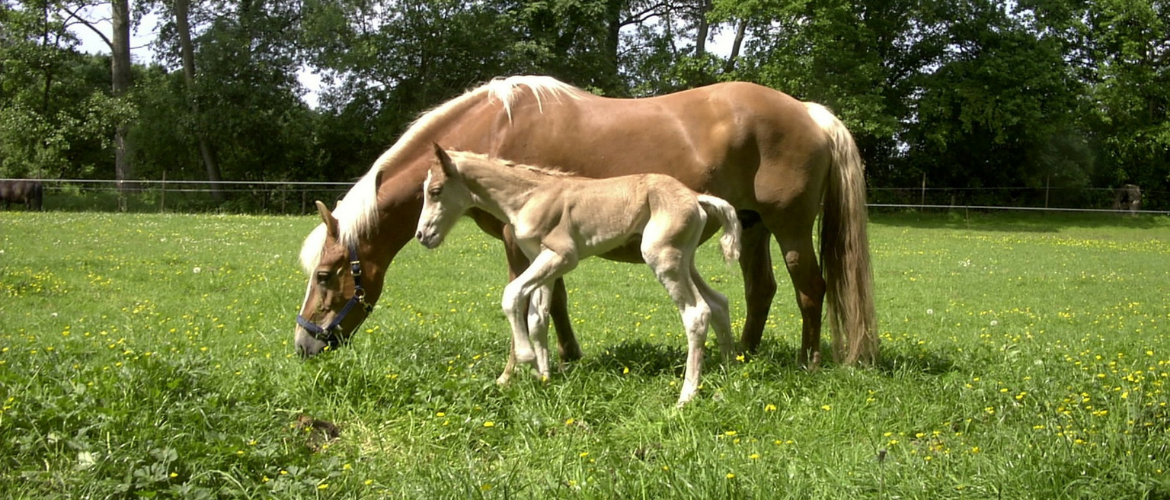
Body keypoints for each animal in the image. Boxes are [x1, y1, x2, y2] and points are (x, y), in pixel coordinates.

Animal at [414, 145, 739, 407]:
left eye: (435, 191)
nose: (422, 236)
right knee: (718, 302)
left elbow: (512, 295)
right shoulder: (541, 260)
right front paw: (543, 378)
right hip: (685, 260)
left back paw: (686, 397)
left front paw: (526, 357)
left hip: (662, 257)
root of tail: (695, 196)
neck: (528, 197)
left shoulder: (562, 257)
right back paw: (728, 370)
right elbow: (537, 318)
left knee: (697, 313)